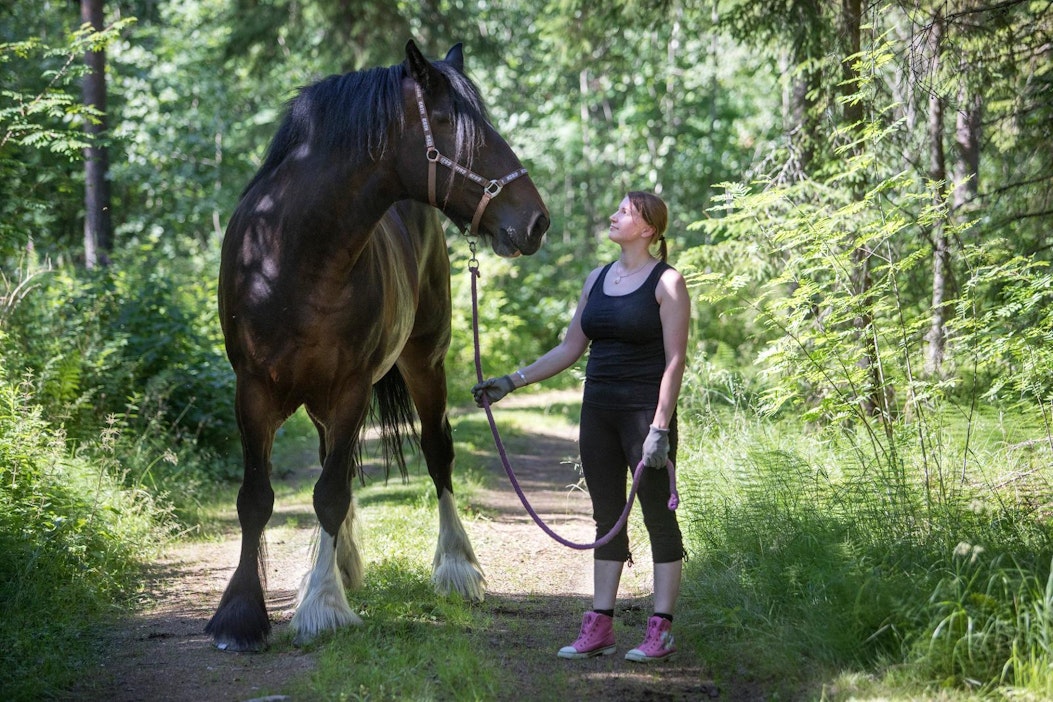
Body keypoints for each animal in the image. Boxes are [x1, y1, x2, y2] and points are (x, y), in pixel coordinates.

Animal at [206, 41, 551, 652]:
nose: (535, 221)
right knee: (335, 464)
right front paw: (241, 615)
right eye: (449, 122)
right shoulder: (252, 390)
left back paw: (455, 568)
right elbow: (256, 499)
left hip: (424, 361)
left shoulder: (350, 390)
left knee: (436, 454)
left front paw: (321, 610)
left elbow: (330, 494)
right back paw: (339, 565)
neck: (295, 256)